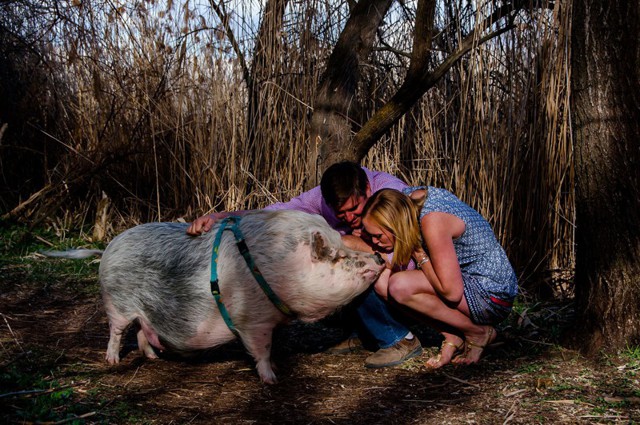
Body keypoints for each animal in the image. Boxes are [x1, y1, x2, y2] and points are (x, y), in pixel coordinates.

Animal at [100, 208, 384, 380]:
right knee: (116, 332)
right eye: (336, 256)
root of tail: (111, 246)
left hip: (141, 311)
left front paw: (278, 368)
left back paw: (152, 357)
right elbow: (263, 350)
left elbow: (272, 346)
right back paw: (112, 362)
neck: (281, 270)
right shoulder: (253, 321)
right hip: (116, 304)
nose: (379, 257)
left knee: (141, 329)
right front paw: (272, 379)